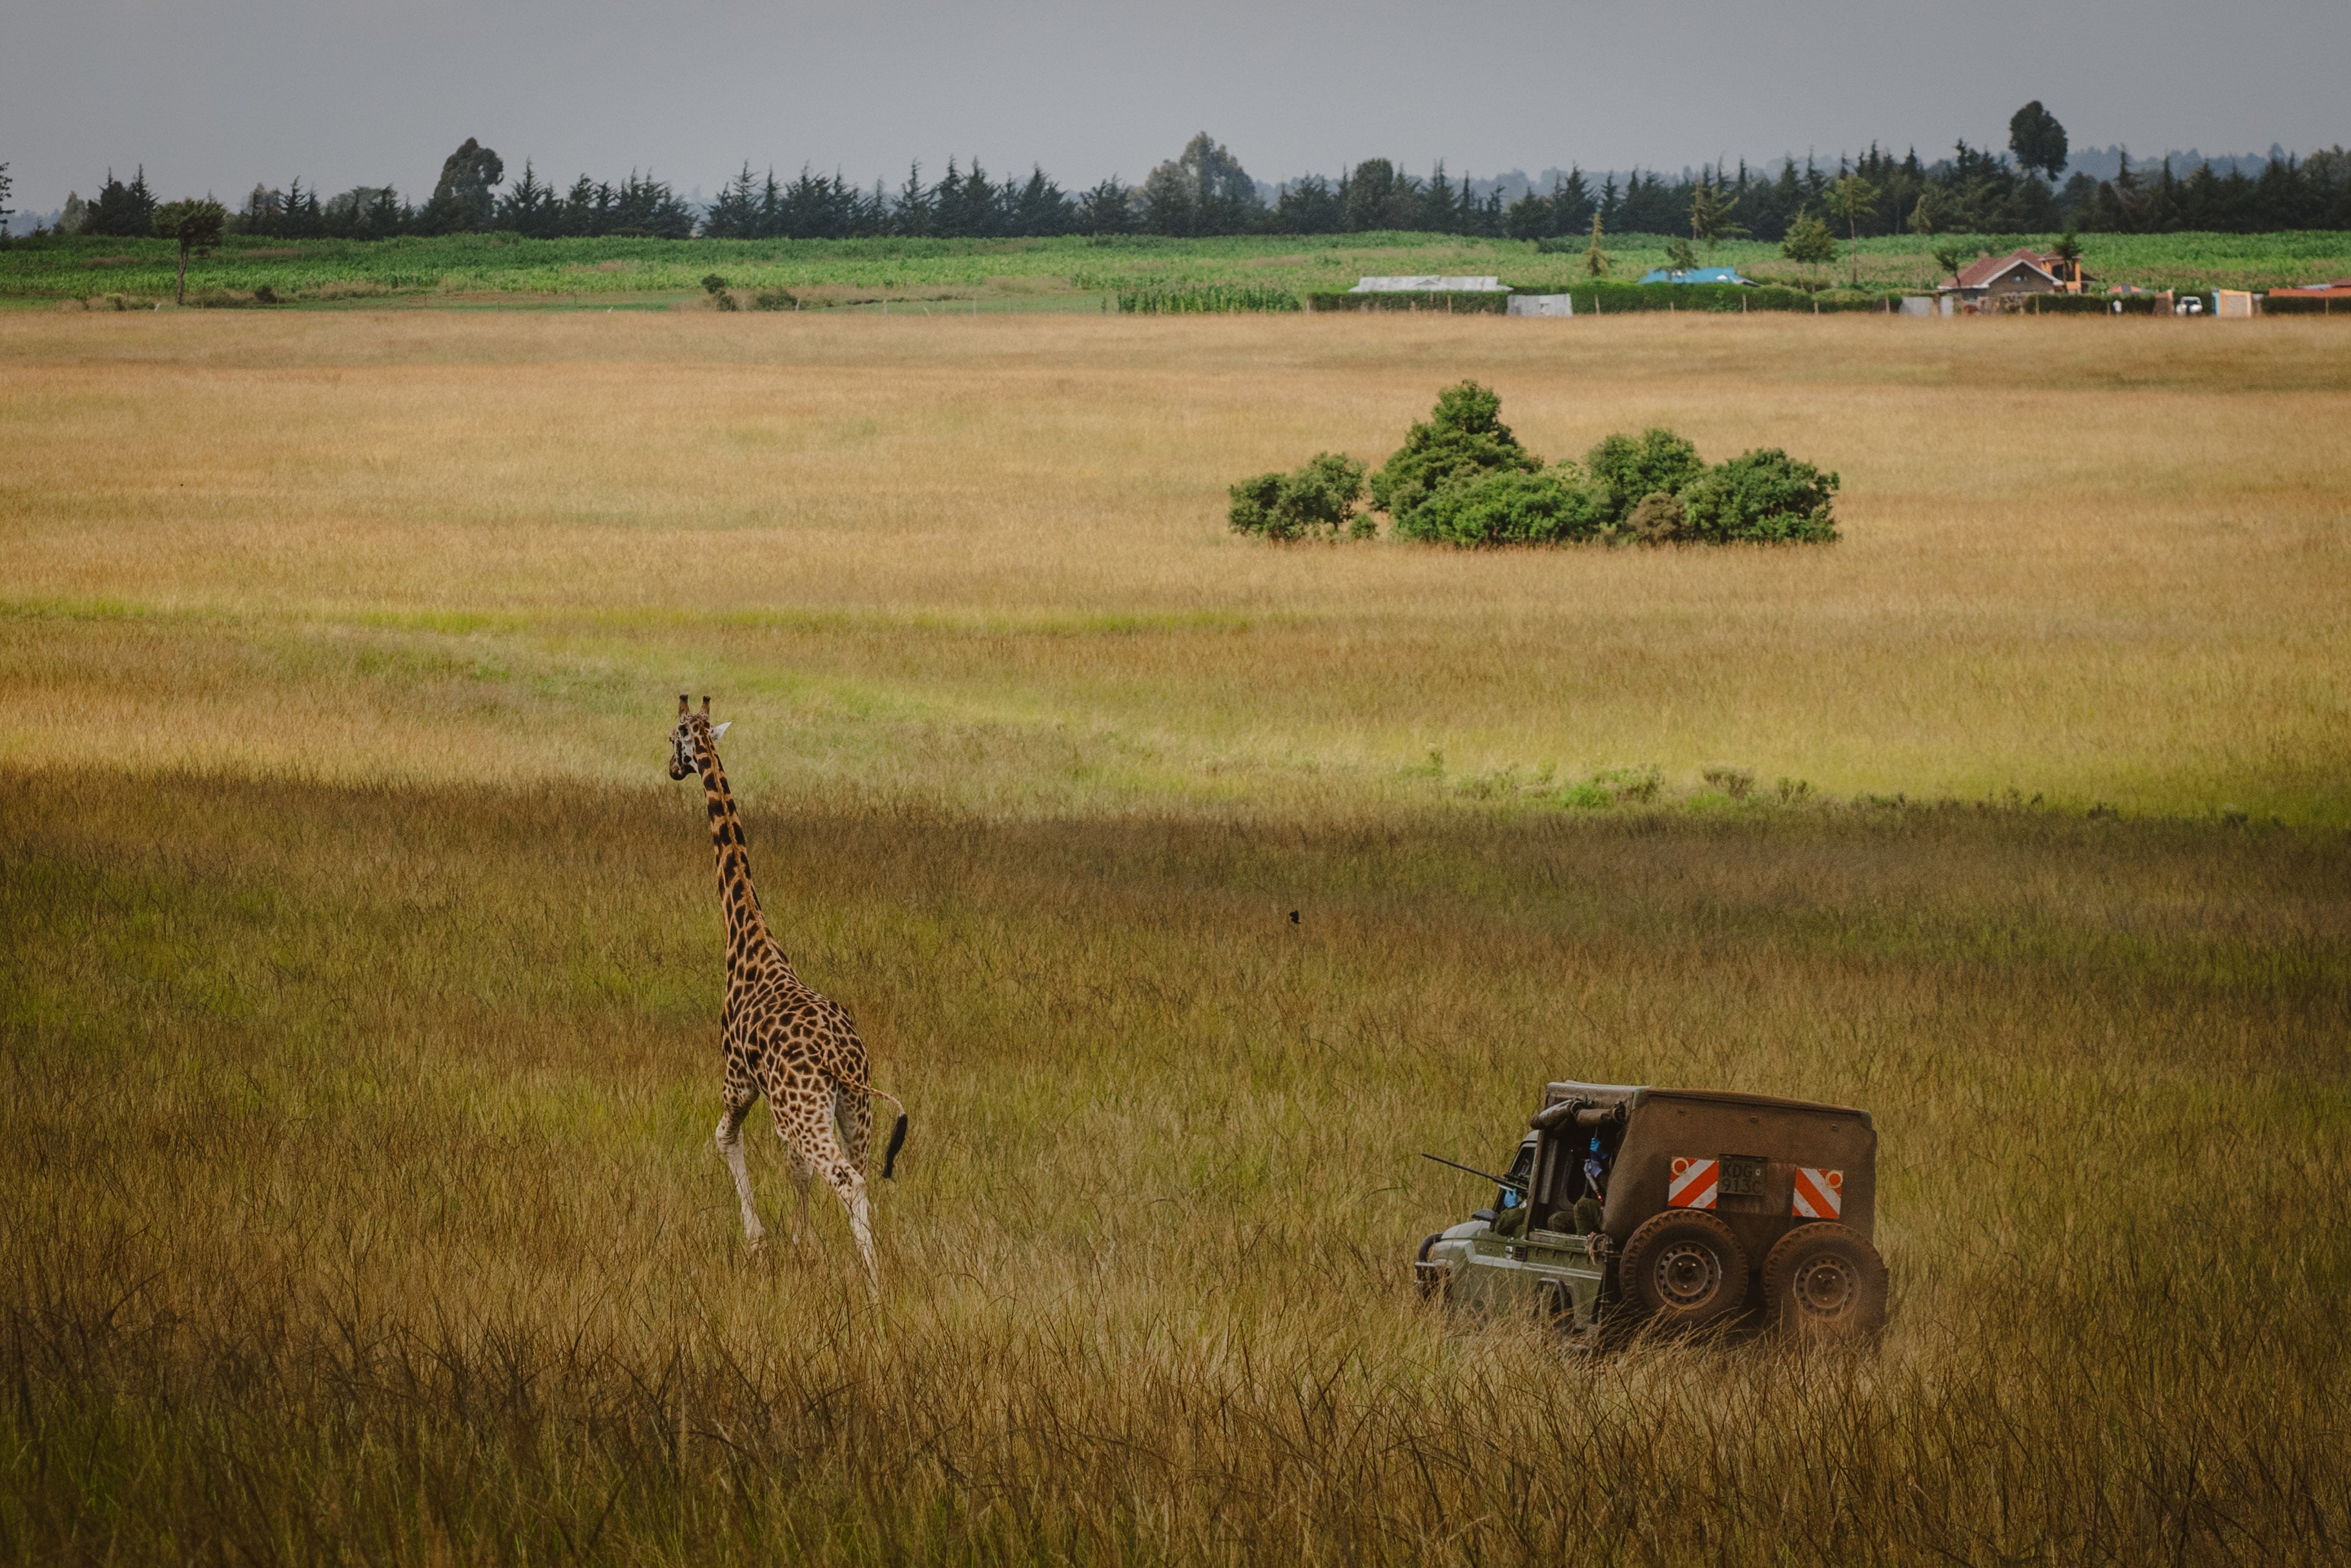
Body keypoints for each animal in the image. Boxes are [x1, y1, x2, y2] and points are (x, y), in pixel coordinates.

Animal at [677, 695, 912, 1288]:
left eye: (674, 737)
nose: (672, 768)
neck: (749, 940)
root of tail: (840, 1058)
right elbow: (795, 1169)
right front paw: (801, 1245)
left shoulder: (738, 1078)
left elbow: (724, 1137)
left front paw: (761, 1241)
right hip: (853, 1106)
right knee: (859, 1174)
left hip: (804, 1106)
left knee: (845, 1179)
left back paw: (874, 1289)